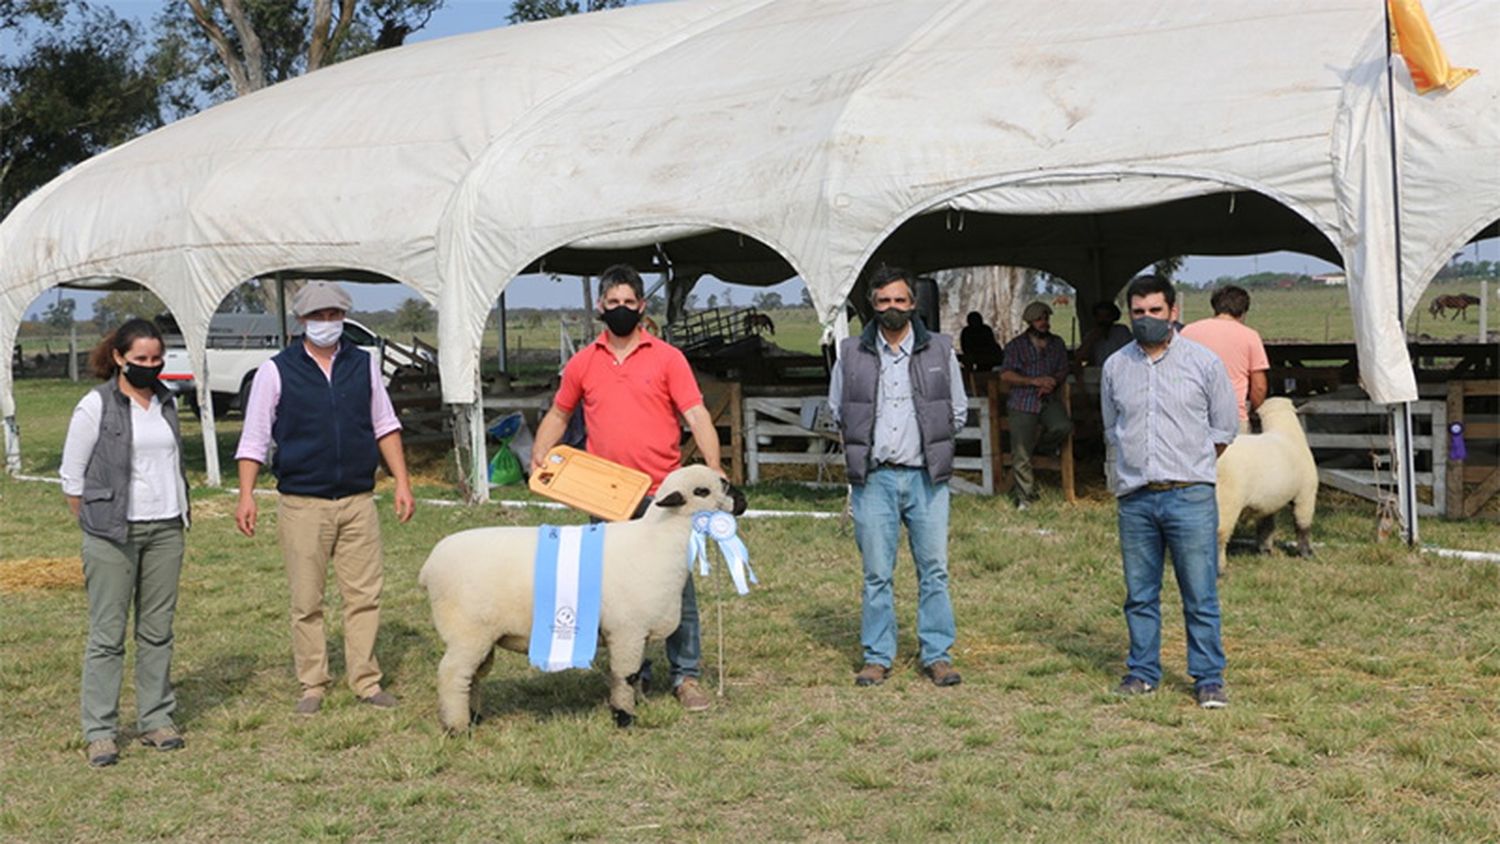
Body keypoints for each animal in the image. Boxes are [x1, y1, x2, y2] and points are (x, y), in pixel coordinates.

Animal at [417, 464, 744, 728]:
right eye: (702, 490)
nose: (742, 501)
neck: (659, 541)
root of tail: (429, 566)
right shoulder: (626, 631)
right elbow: (626, 675)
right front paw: (624, 716)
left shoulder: (635, 632)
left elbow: (637, 673)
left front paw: (636, 705)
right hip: (466, 631)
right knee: (452, 674)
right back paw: (457, 727)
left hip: (481, 635)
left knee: (471, 677)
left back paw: (473, 718)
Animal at [1212, 398, 1320, 575]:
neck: (1286, 431)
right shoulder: (1306, 494)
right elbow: (1303, 525)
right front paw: (1306, 553)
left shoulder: (1268, 502)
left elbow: (1266, 527)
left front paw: (1265, 551)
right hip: (1227, 499)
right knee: (1219, 534)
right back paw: (1219, 569)